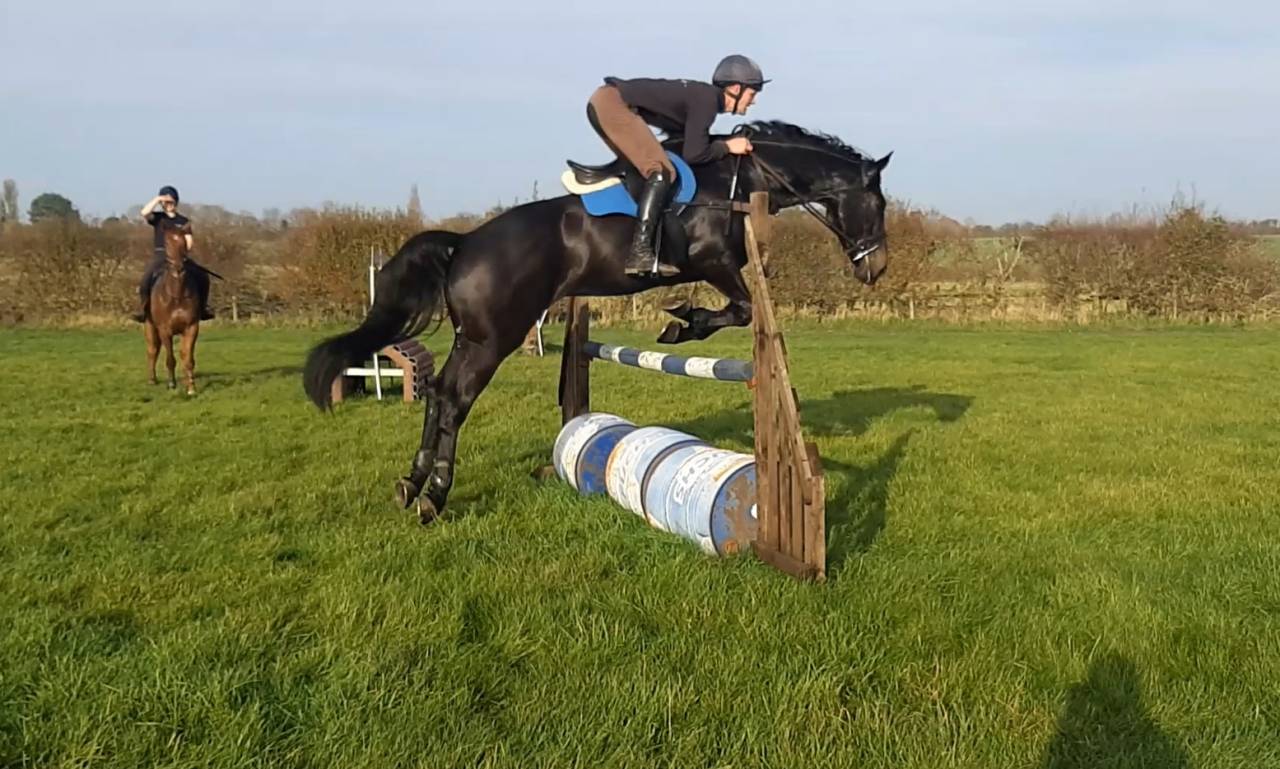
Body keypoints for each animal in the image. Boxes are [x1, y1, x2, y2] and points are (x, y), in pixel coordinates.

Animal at [144, 227, 203, 395]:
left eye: (184, 242)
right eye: (167, 243)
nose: (179, 268)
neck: (177, 294)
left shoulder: (191, 328)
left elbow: (187, 358)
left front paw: (191, 387)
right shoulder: (165, 330)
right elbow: (170, 359)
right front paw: (171, 384)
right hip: (150, 327)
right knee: (152, 350)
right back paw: (152, 379)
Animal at [302, 120, 893, 522]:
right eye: (879, 204)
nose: (878, 267)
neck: (741, 177)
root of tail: (465, 242)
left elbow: (740, 310)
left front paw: (680, 320)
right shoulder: (714, 263)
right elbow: (742, 310)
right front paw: (682, 322)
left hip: (471, 336)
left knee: (440, 393)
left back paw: (413, 482)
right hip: (496, 337)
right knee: (454, 398)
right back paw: (436, 494)